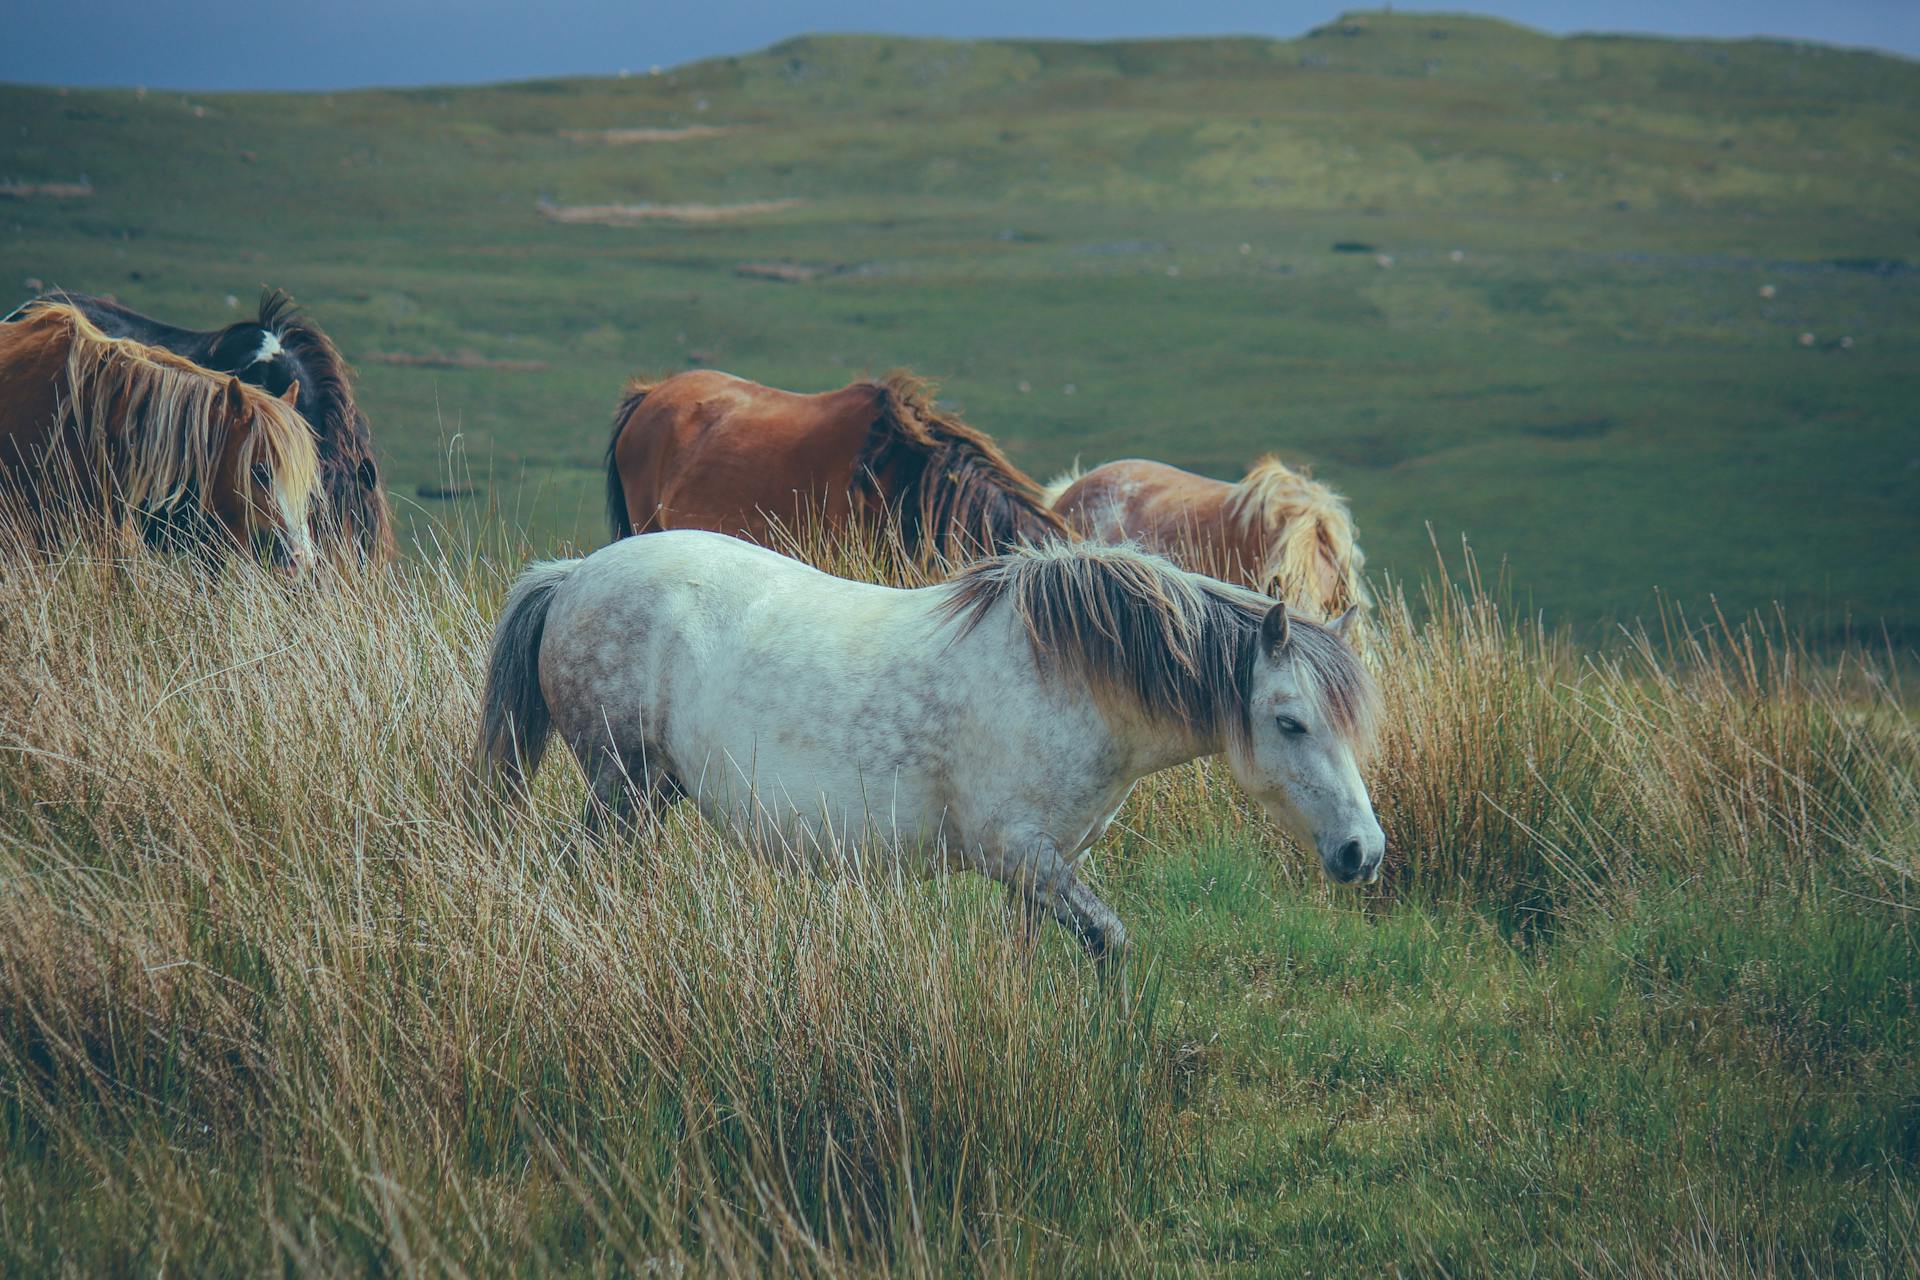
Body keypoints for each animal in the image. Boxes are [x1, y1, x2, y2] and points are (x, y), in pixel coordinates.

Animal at [474, 529, 1390, 959]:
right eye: (1290, 721)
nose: (1363, 851)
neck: (1069, 675)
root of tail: (575, 574)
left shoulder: (1049, 865)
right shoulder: (1020, 853)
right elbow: (1109, 942)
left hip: (650, 792)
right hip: (617, 783)